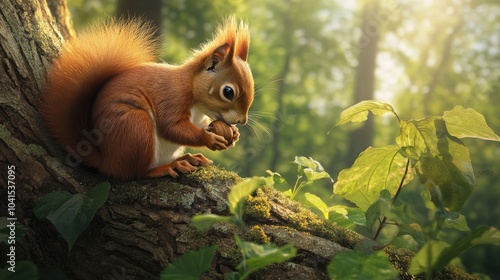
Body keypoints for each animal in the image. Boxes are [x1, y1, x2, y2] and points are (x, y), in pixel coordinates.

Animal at [41, 17, 254, 179]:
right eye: (228, 92)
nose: (242, 121)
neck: (193, 92)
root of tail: (107, 161)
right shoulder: (172, 97)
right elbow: (172, 127)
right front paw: (209, 138)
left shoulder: (198, 117)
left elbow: (200, 124)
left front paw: (233, 134)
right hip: (136, 128)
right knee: (135, 173)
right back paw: (167, 168)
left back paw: (185, 159)